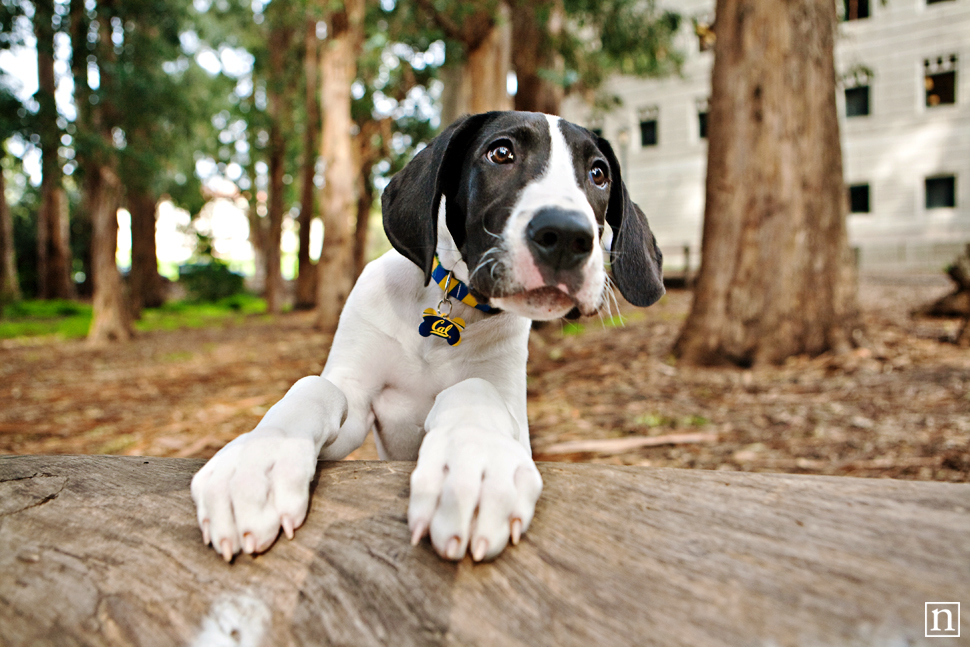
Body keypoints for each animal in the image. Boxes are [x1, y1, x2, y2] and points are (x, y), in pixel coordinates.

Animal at [195, 110, 664, 560]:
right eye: (500, 153)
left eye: (598, 173)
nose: (567, 235)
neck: (450, 313)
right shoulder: (357, 406)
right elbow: (315, 388)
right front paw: (257, 461)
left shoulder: (511, 412)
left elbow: (474, 389)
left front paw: (474, 466)